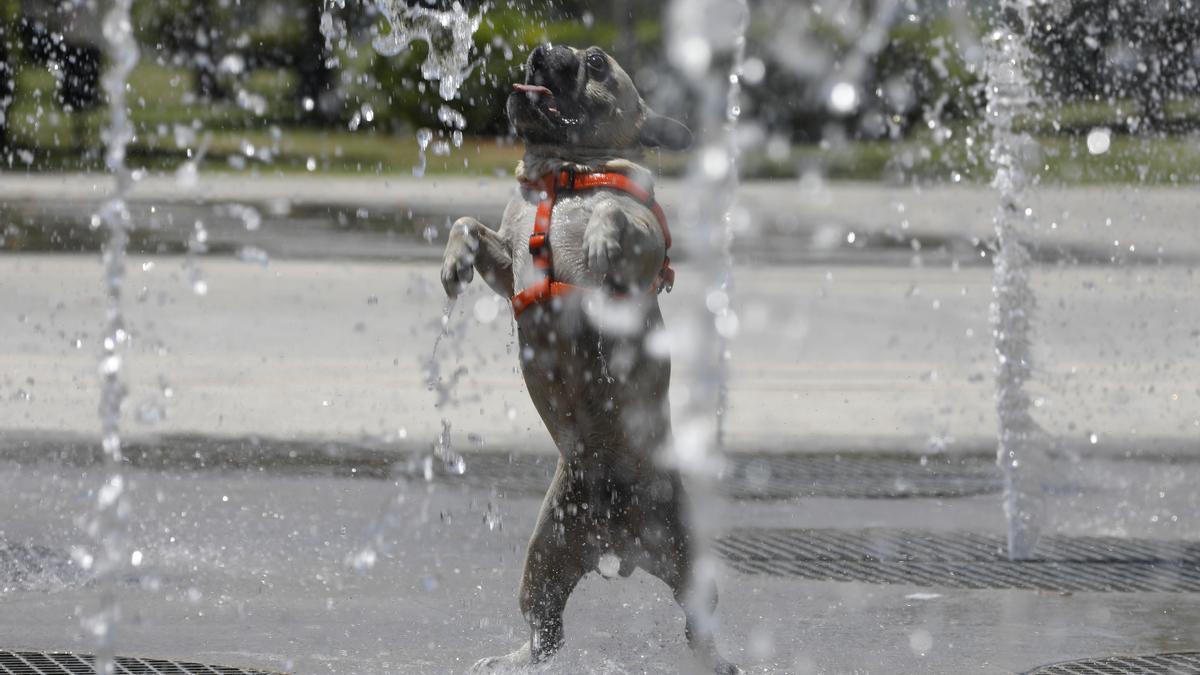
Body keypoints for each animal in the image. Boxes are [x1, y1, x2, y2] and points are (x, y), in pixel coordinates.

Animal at [444, 44, 739, 667]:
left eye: (597, 61)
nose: (539, 50)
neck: (567, 173)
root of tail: (618, 543)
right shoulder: (505, 264)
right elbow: (468, 224)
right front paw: (452, 261)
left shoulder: (646, 245)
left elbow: (616, 216)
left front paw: (601, 238)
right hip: (547, 553)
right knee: (546, 629)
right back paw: (513, 661)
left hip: (686, 557)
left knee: (697, 623)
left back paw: (717, 661)